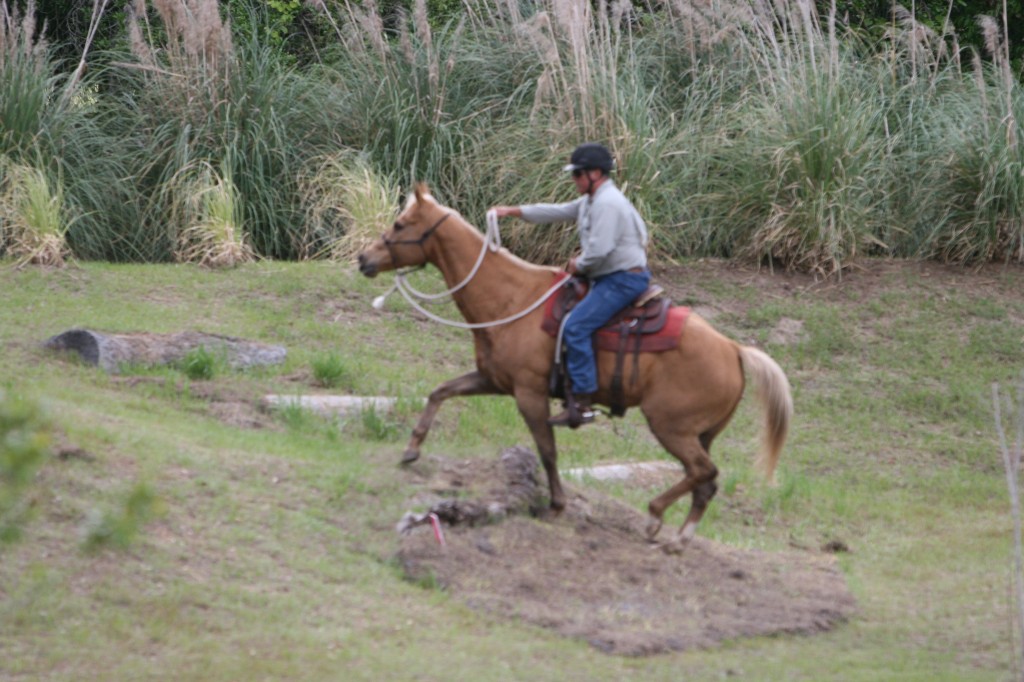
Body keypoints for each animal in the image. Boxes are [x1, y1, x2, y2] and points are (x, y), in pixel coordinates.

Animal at [356, 183, 794, 548]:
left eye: (400, 223)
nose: (364, 258)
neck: (512, 300)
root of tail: (734, 349)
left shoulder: (529, 394)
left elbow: (547, 450)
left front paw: (556, 505)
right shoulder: (493, 380)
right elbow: (440, 392)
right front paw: (411, 450)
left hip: (672, 427)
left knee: (703, 472)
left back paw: (655, 517)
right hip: (702, 433)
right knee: (705, 482)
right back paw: (679, 537)